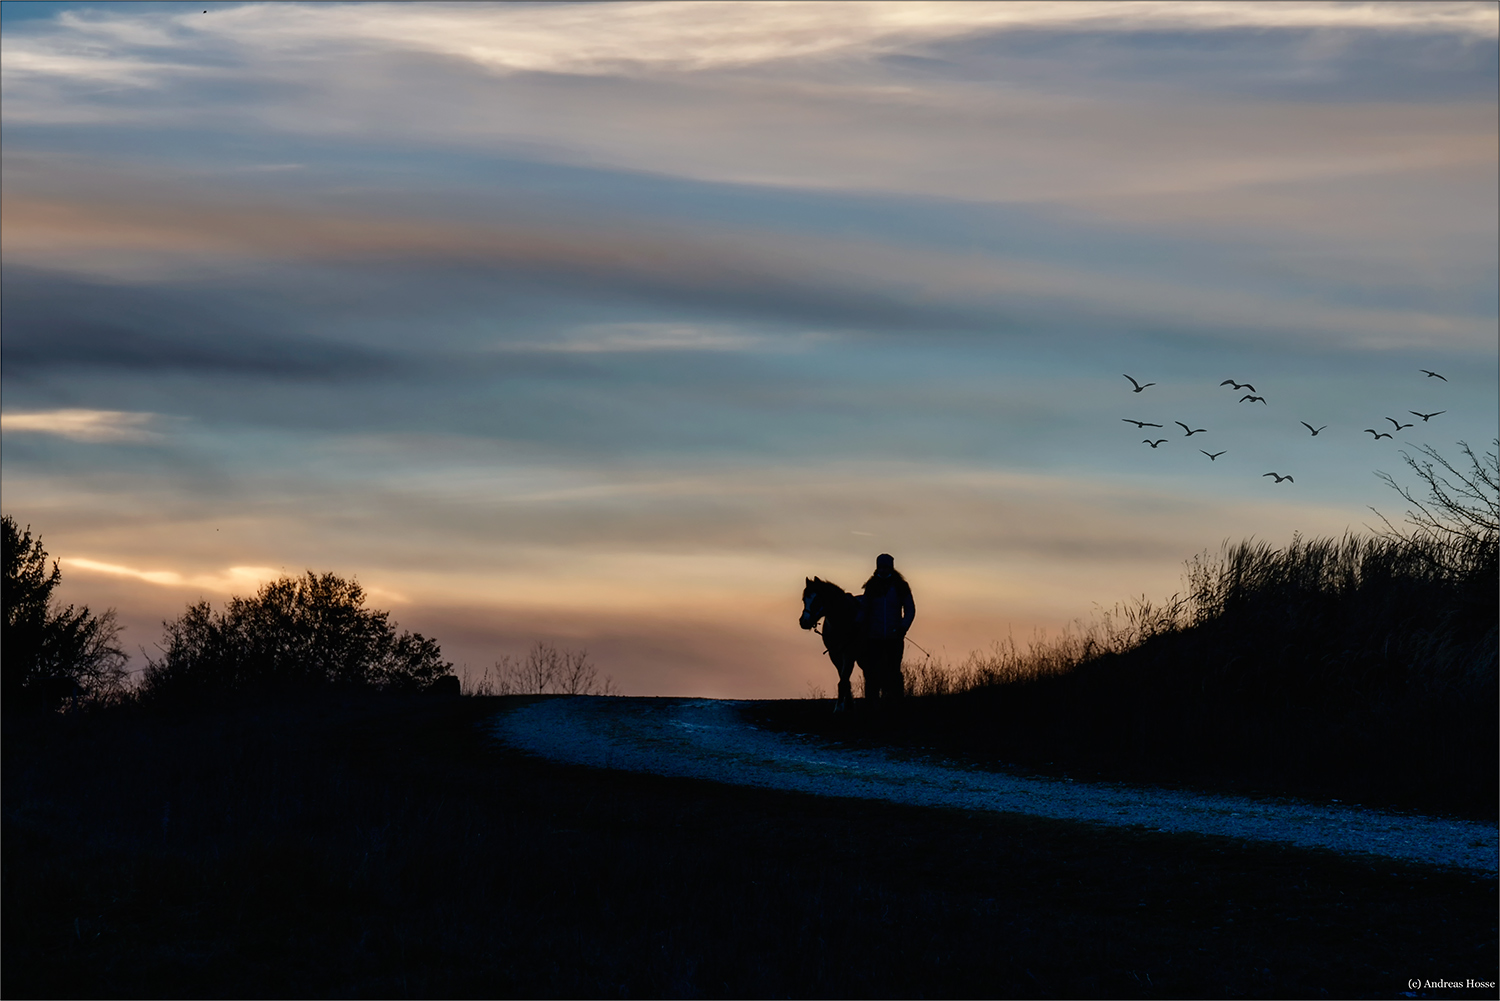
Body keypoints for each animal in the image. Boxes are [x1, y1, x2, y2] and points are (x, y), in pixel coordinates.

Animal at [798, 579, 870, 711]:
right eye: (804, 599)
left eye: (817, 600)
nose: (803, 622)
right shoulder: (834, 655)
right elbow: (844, 679)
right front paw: (848, 706)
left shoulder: (849, 655)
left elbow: (843, 680)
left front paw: (839, 708)